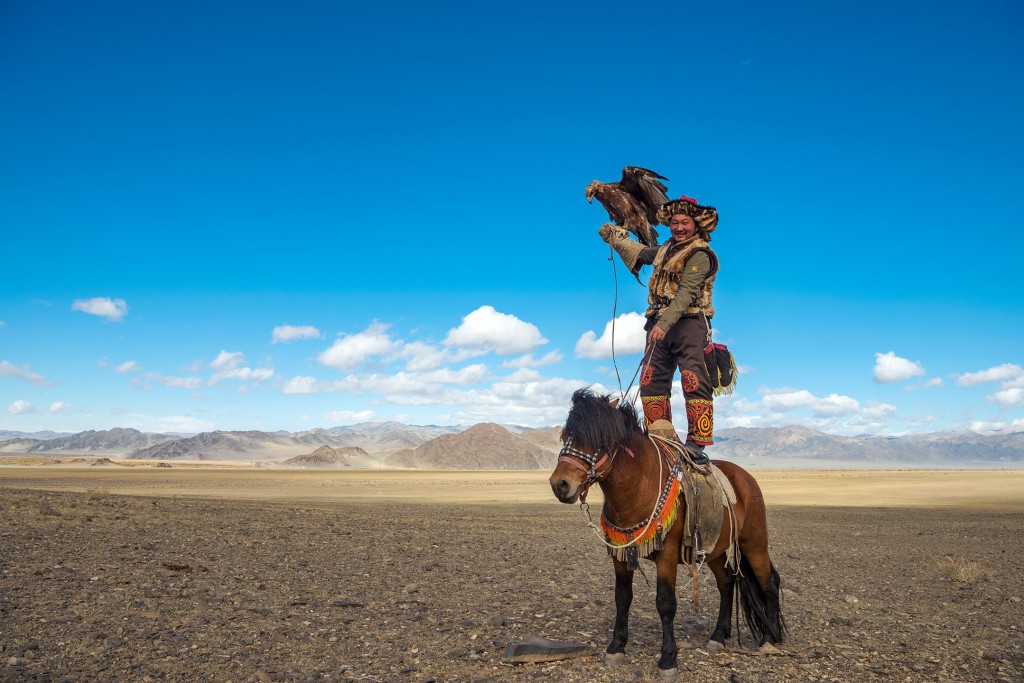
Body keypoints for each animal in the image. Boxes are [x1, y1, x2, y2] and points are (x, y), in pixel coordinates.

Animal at [552, 387, 782, 675]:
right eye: (564, 436)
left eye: (599, 439)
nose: (560, 484)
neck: (640, 486)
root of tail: (746, 477)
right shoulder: (620, 553)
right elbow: (622, 598)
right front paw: (616, 647)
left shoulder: (668, 553)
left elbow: (665, 602)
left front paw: (668, 658)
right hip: (714, 548)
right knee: (727, 583)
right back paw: (719, 636)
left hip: (754, 541)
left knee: (768, 582)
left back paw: (769, 639)